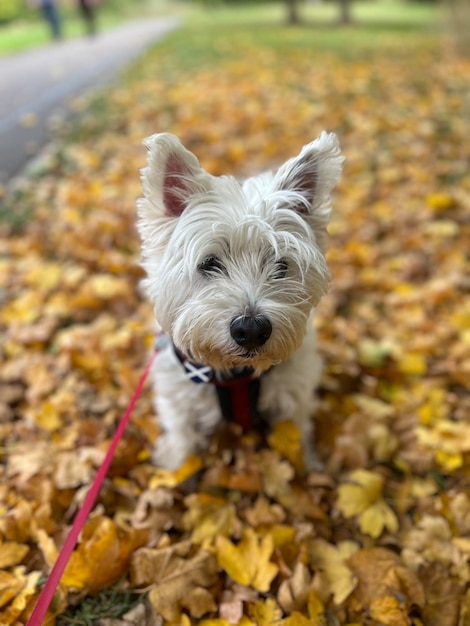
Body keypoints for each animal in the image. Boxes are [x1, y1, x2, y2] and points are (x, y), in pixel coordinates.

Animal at [136, 132, 342, 468]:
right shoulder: (179, 402)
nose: (252, 330)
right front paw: (175, 467)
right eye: (209, 263)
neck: (235, 376)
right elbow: (182, 439)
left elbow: (297, 438)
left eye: (280, 265)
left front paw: (310, 468)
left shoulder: (293, 397)